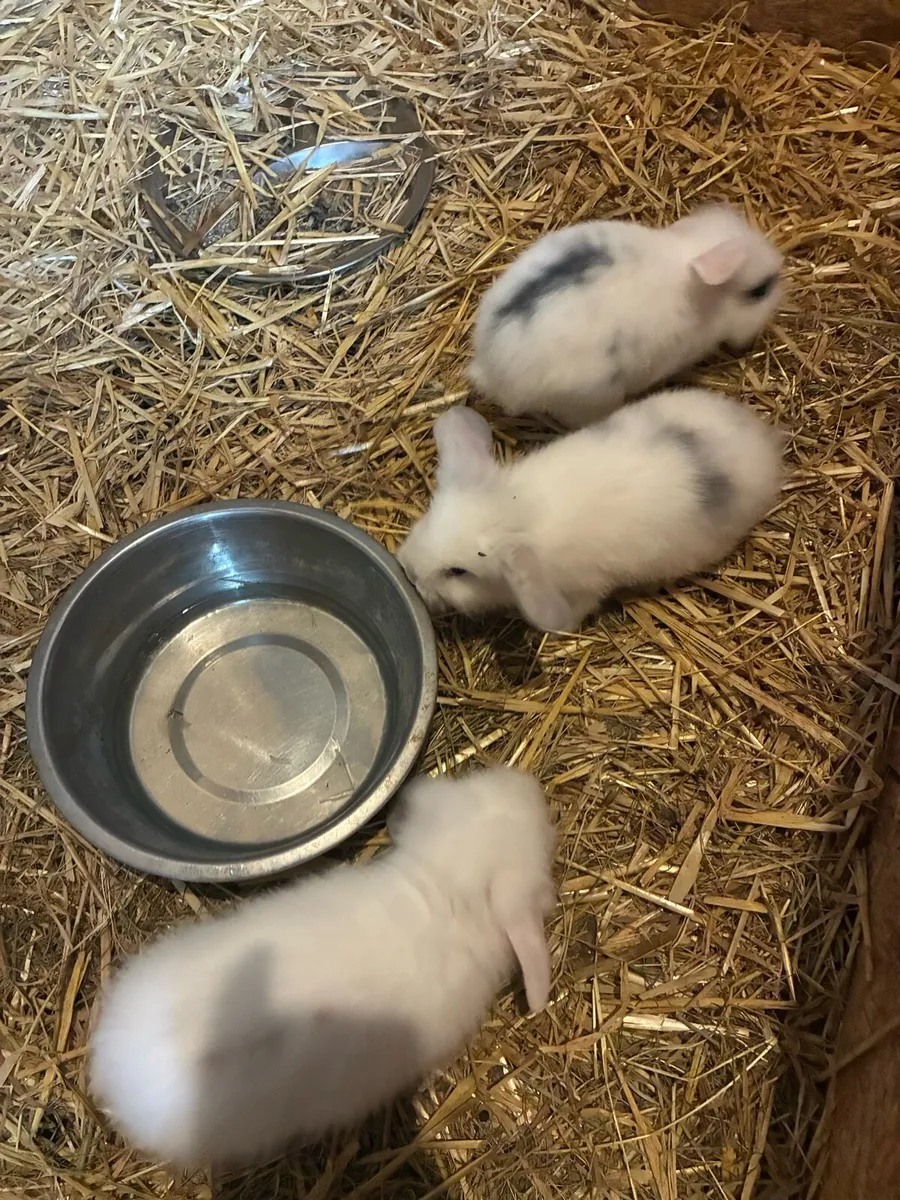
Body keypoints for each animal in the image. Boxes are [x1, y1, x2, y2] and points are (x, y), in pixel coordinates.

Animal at [397, 390, 783, 632]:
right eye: (427, 521)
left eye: (457, 572)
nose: (409, 572)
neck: (520, 511)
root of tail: (764, 440)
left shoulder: (584, 589)